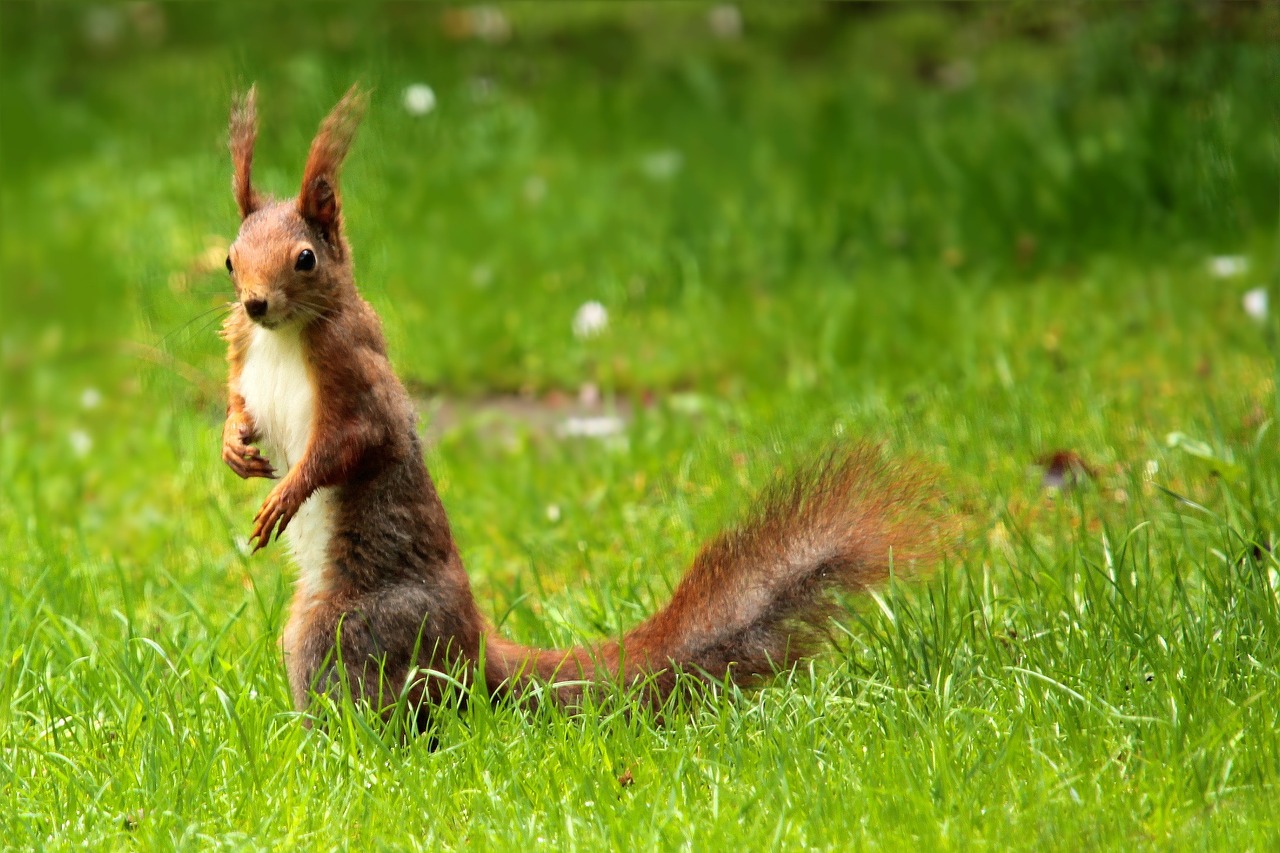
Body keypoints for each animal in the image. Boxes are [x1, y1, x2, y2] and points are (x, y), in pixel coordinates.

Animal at [217, 84, 942, 722]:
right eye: (229, 259)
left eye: (306, 259)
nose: (255, 303)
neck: (284, 337)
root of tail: (474, 651)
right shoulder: (244, 353)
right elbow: (239, 404)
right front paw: (234, 445)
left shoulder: (356, 375)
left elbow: (354, 441)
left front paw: (288, 493)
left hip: (348, 626)